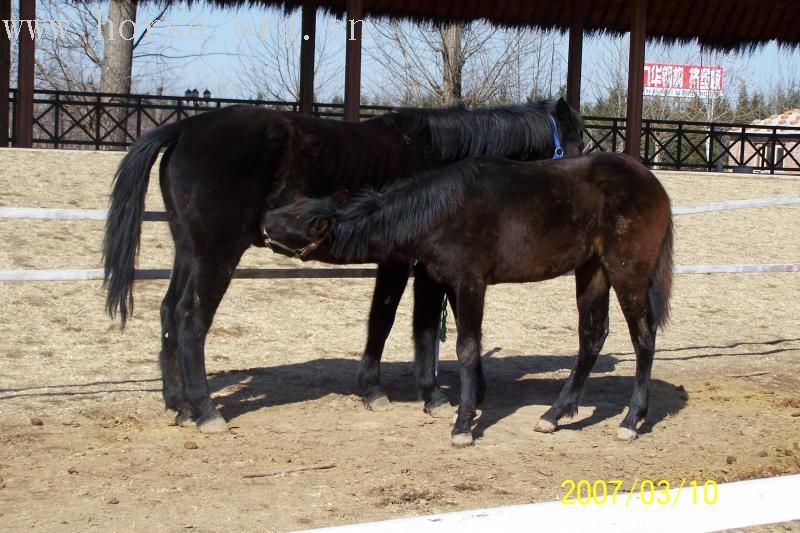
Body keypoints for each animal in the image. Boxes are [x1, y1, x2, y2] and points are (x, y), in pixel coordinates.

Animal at [103, 98, 584, 432]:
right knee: (190, 318)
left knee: (168, 311)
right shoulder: (408, 262)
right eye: (576, 140)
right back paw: (205, 411)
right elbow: (402, 322)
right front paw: (418, 395)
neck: (437, 156)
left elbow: (402, 323)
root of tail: (184, 127)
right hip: (214, 255)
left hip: (188, 251)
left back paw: (178, 404)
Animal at [264, 152, 676, 446]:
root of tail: (652, 183)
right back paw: (554, 415)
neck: (446, 210)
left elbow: (465, 346)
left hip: (626, 273)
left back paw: (631, 419)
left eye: (304, 222)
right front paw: (469, 405)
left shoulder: (470, 282)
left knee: (643, 338)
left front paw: (463, 426)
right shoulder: (450, 284)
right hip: (592, 271)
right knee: (592, 337)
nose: (264, 220)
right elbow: (461, 340)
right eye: (294, 208)